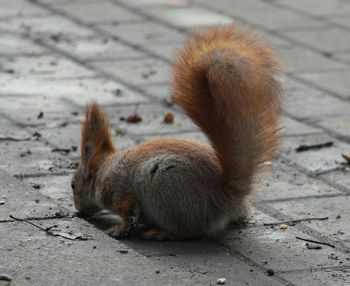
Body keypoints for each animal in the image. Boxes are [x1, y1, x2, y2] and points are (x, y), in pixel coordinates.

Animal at [70, 24, 282, 240]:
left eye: (72, 185)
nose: (78, 209)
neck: (103, 170)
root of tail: (224, 198)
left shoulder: (118, 190)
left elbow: (127, 211)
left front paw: (119, 228)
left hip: (166, 187)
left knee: (191, 230)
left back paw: (160, 232)